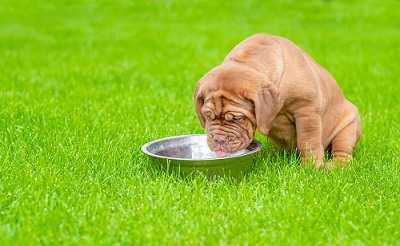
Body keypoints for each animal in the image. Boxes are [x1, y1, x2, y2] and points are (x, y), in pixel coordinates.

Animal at [195, 33, 360, 167]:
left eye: (238, 118)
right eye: (207, 115)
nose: (219, 139)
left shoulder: (307, 110)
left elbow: (308, 141)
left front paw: (312, 167)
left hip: (348, 127)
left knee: (343, 149)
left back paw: (338, 165)